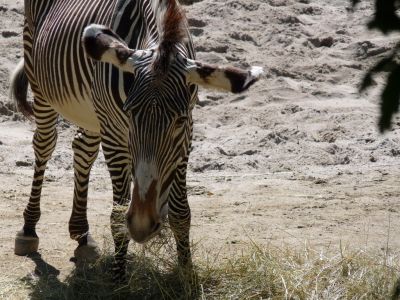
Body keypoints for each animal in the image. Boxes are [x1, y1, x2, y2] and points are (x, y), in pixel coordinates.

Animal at [10, 0, 262, 278]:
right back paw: (29, 229)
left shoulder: (186, 136)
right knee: (44, 145)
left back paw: (82, 235)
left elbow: (180, 212)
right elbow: (118, 215)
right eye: (130, 114)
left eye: (179, 121)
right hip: (41, 81)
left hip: (91, 110)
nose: (142, 224)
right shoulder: (114, 133)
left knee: (83, 149)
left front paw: (186, 273)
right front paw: (119, 278)